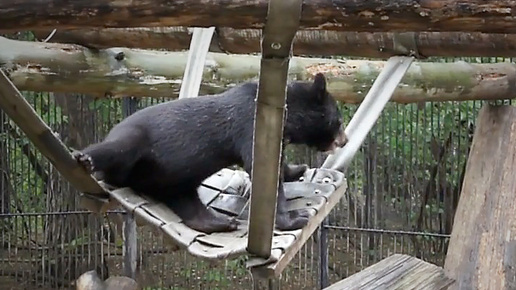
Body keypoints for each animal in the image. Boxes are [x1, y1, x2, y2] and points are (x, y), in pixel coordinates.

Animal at [75, 72, 346, 233]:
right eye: (339, 120)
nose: (344, 140)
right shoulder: (250, 123)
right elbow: (262, 173)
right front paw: (296, 218)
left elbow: (279, 165)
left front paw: (298, 170)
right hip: (133, 139)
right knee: (115, 148)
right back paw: (85, 160)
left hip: (176, 182)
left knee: (191, 207)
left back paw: (223, 222)